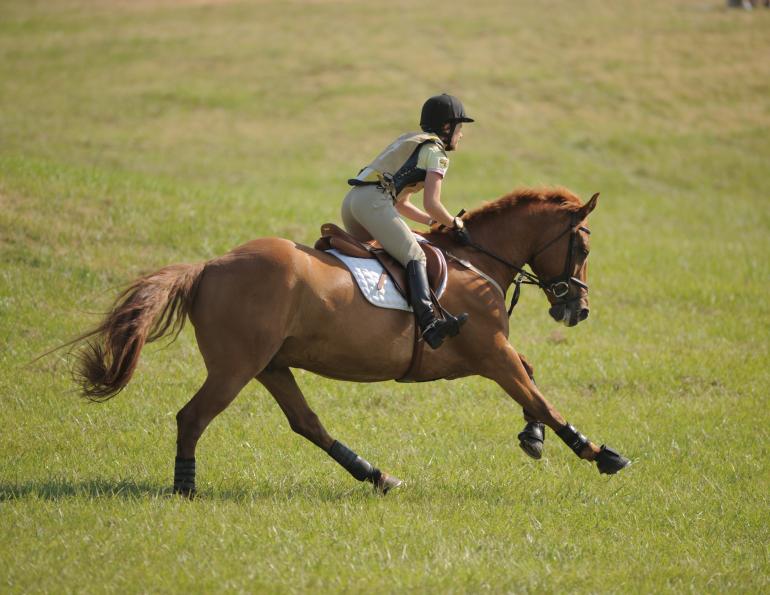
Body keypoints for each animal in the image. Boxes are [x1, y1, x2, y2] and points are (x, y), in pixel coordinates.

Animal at [71, 186, 629, 496]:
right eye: (582, 247)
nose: (577, 309)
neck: (478, 261)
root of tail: (210, 265)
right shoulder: (491, 353)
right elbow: (543, 396)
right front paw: (598, 452)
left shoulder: (490, 354)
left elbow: (532, 381)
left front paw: (533, 437)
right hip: (236, 368)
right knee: (193, 417)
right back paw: (185, 488)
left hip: (270, 365)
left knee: (306, 423)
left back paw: (377, 475)